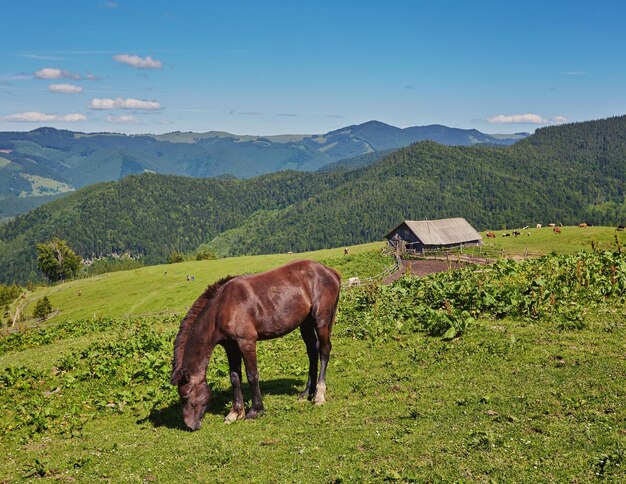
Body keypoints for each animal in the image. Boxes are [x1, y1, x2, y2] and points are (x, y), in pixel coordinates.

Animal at [169, 260, 342, 432]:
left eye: (185, 396)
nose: (190, 426)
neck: (222, 308)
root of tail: (330, 271)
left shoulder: (246, 342)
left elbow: (252, 375)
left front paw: (255, 410)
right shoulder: (231, 346)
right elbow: (234, 377)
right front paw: (235, 413)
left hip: (321, 319)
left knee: (324, 351)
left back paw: (319, 395)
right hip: (305, 323)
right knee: (312, 352)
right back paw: (307, 393)